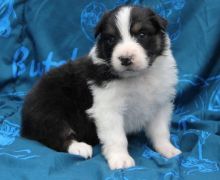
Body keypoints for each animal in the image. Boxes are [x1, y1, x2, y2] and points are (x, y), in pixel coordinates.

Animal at [21, 5, 181, 169]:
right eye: (111, 39)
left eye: (142, 34)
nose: (125, 59)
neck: (138, 77)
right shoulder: (108, 109)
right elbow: (117, 137)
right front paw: (121, 159)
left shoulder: (160, 104)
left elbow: (160, 131)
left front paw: (168, 149)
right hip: (50, 109)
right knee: (56, 134)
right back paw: (80, 148)